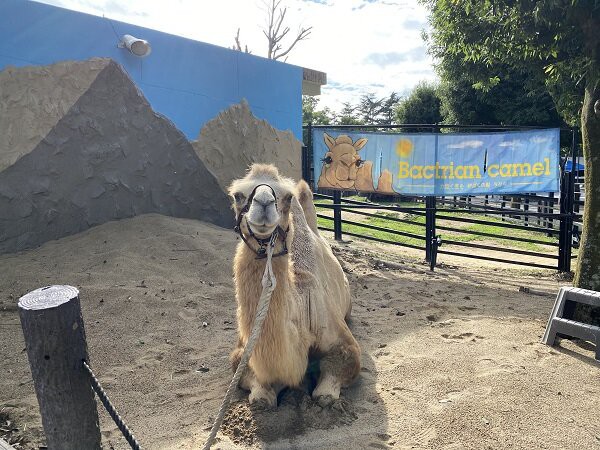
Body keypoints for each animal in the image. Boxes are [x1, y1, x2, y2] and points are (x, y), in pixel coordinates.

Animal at [229, 163, 360, 406]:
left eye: (288, 197)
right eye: (237, 195)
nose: (263, 203)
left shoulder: (341, 339)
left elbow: (329, 386)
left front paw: (324, 393)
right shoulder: (242, 351)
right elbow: (259, 393)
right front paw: (266, 394)